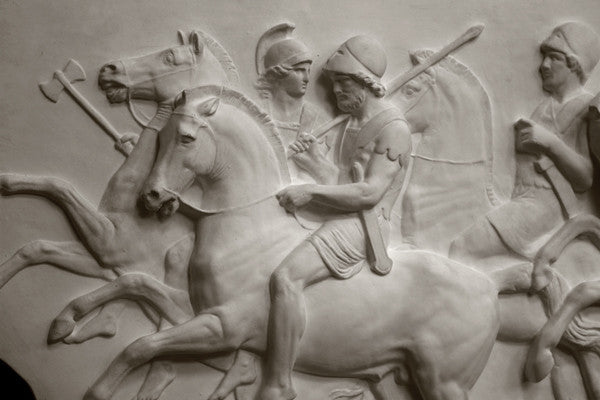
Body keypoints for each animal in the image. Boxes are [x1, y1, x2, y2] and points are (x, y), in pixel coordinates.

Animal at [0, 30, 255, 400]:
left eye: (169, 56)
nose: (110, 69)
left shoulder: (110, 242)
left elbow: (58, 184)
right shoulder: (104, 258)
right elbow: (37, 247)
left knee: (163, 362)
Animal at [79, 85, 552, 400]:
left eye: (187, 139)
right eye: (159, 138)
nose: (152, 197)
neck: (248, 231)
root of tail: (489, 284)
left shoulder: (224, 329)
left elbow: (139, 346)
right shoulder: (195, 313)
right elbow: (136, 286)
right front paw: (71, 318)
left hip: (445, 383)